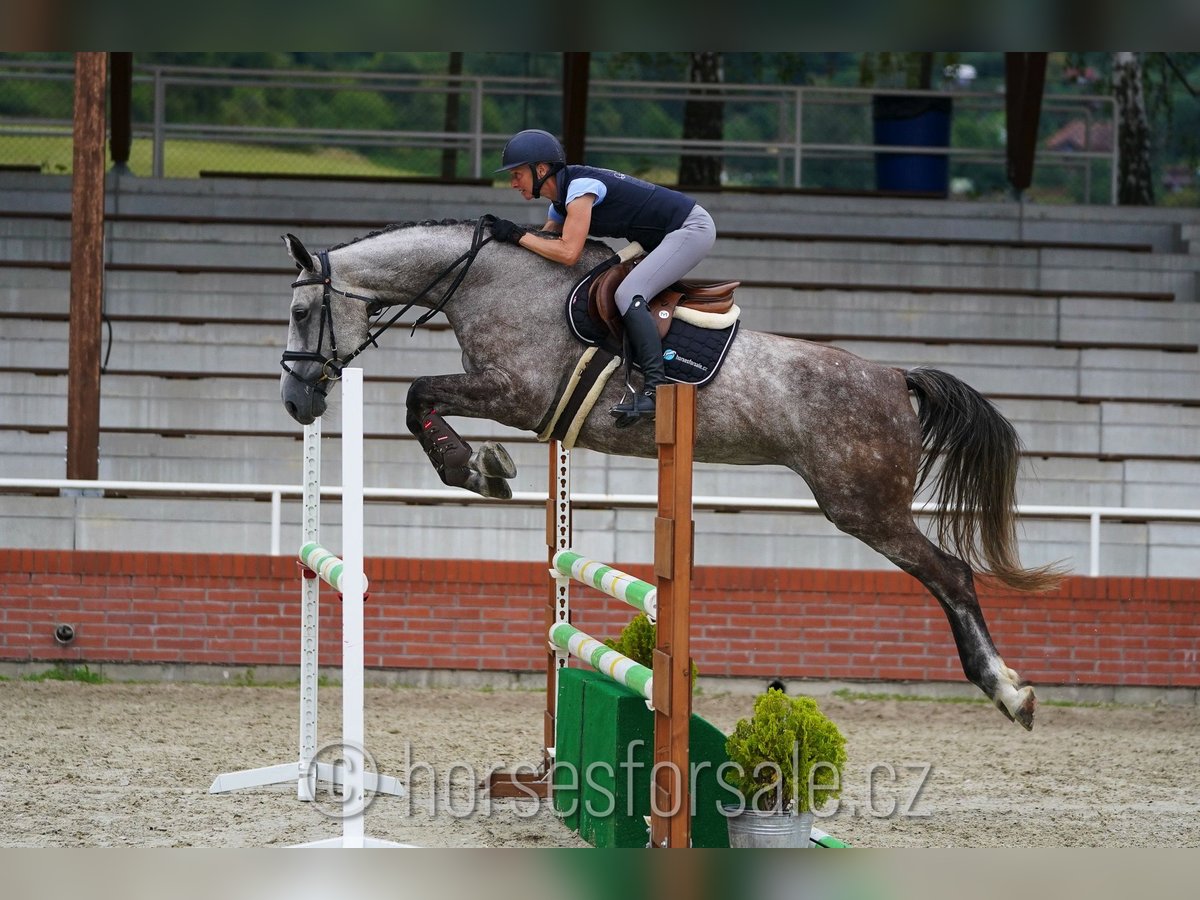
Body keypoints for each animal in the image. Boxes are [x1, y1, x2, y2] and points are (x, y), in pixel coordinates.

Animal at [278, 218, 1060, 734]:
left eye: (300, 310)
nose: (297, 401)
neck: (489, 282)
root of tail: (896, 377)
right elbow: (423, 400)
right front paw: (481, 466)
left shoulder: (516, 393)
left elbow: (418, 395)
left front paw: (476, 468)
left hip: (864, 506)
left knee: (951, 574)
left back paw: (1008, 692)